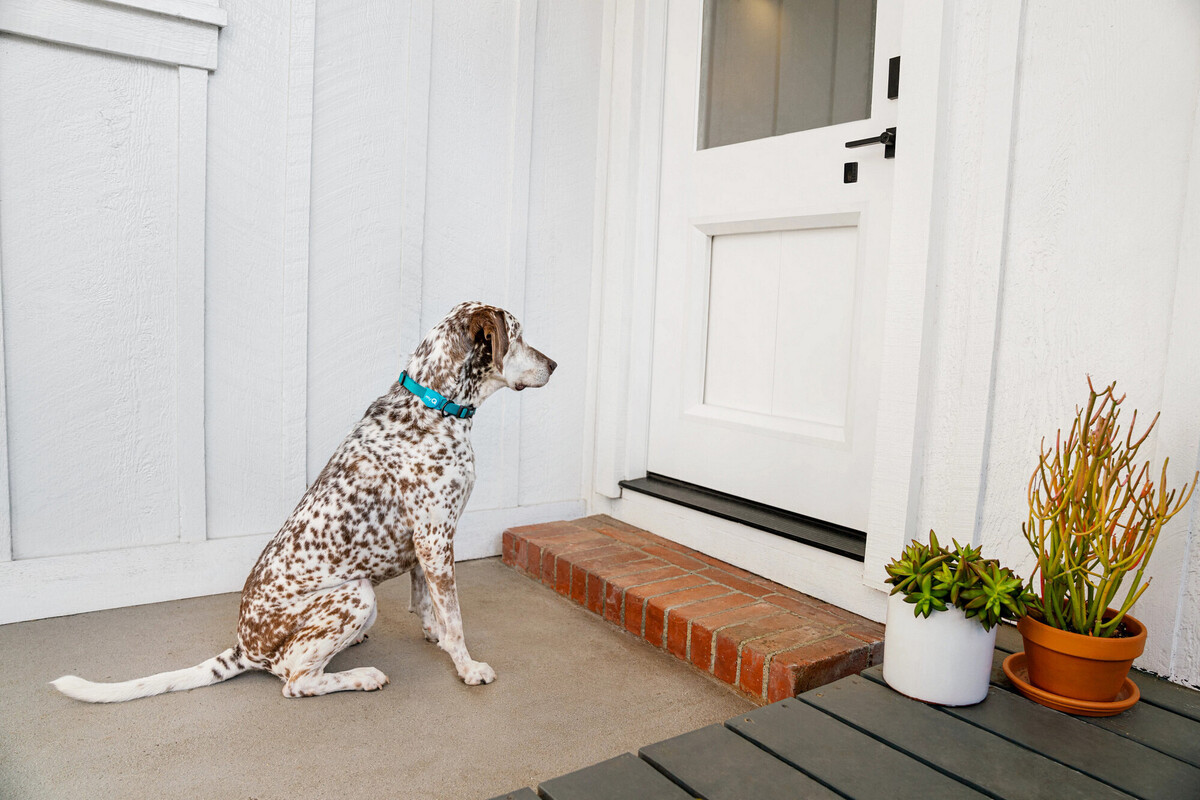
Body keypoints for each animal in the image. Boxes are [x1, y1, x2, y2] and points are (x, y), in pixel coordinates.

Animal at [55, 303, 556, 705]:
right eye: (519, 335)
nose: (554, 364)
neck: (435, 406)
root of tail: (244, 647)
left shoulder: (427, 543)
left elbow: (429, 604)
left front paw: (434, 636)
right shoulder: (435, 537)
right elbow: (455, 620)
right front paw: (467, 667)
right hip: (358, 593)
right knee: (296, 681)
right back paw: (362, 676)